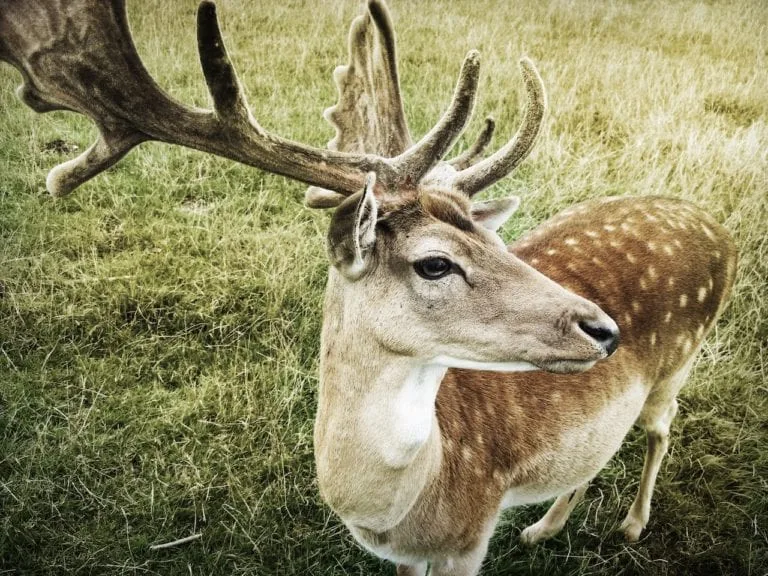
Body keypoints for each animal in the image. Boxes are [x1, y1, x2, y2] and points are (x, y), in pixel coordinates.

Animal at [0, 1, 737, 574]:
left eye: (498, 243)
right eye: (435, 263)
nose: (603, 328)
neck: (400, 505)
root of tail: (716, 226)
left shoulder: (472, 535)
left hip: (682, 360)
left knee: (660, 428)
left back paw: (632, 525)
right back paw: (543, 527)